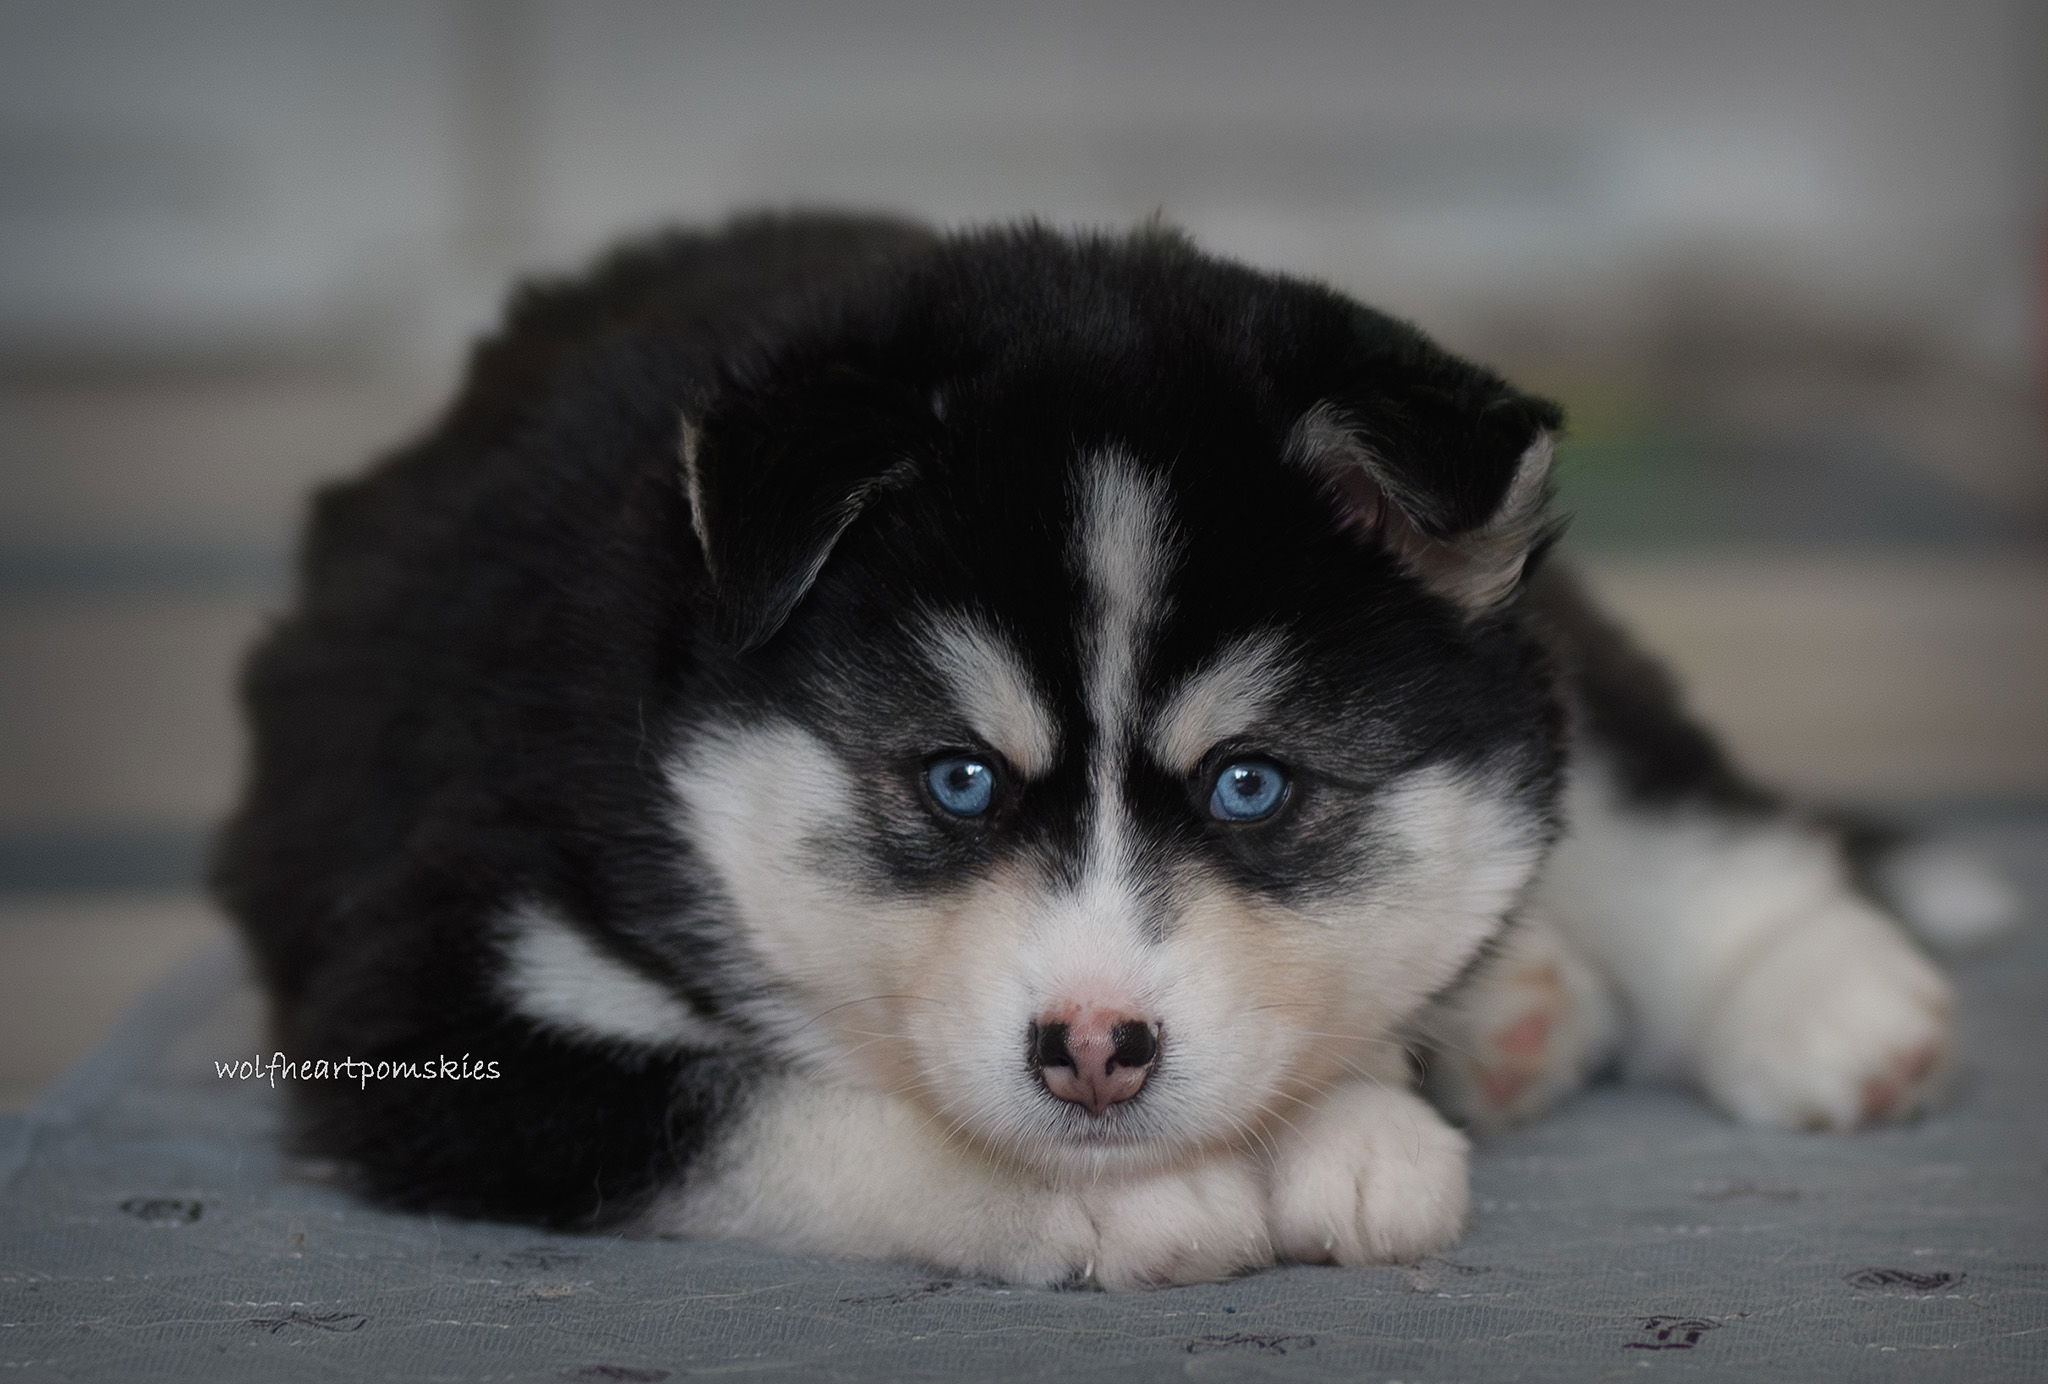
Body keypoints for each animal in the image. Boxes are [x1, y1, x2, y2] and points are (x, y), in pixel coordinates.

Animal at [215, 212, 2014, 1288]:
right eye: (955, 778)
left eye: (1249, 784)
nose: (1094, 1050)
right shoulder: (429, 1017)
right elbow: (778, 1108)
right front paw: (1139, 1189)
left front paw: (1351, 1114)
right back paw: (1526, 1012)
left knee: (1665, 803)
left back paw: (1819, 1004)